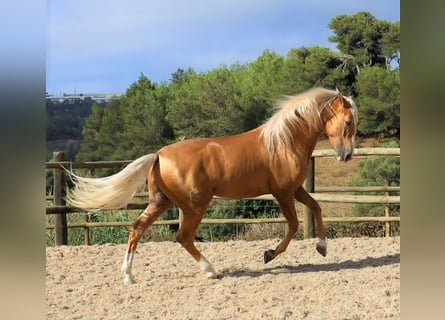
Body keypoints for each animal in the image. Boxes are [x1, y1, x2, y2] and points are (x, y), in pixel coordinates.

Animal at [66, 87, 358, 282]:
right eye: (348, 121)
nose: (346, 156)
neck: (284, 142)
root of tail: (159, 154)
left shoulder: (296, 189)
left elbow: (317, 207)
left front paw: (322, 247)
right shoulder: (283, 192)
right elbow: (294, 225)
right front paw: (269, 255)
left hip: (162, 202)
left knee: (137, 228)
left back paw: (128, 276)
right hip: (195, 205)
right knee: (183, 237)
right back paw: (211, 271)